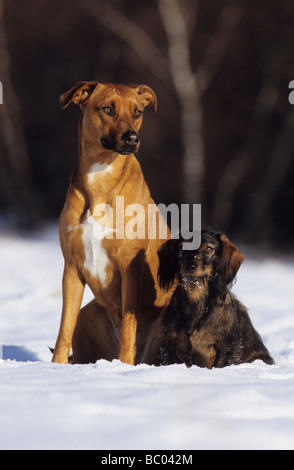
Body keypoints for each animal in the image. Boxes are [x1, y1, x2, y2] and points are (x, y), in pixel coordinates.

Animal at [52, 81, 172, 364]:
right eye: (108, 109)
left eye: (138, 112)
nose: (132, 138)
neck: (101, 176)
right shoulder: (72, 267)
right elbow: (64, 328)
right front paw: (55, 367)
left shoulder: (130, 268)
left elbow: (129, 326)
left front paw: (124, 366)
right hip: (90, 313)